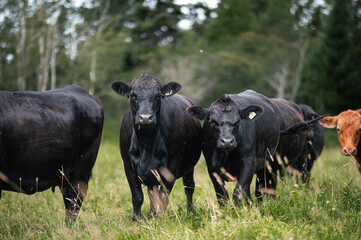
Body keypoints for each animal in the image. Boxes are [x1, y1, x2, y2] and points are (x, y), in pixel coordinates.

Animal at [110, 73, 200, 219]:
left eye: (158, 96)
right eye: (133, 95)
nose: (145, 117)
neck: (147, 145)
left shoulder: (172, 166)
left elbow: (163, 196)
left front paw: (161, 219)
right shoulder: (128, 165)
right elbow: (138, 196)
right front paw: (136, 219)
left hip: (189, 167)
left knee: (189, 188)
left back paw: (190, 212)